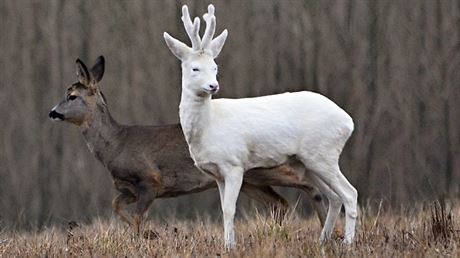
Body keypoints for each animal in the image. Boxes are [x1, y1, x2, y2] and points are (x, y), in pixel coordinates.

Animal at [47, 56, 328, 234]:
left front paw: (147, 236)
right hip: (250, 179)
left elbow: (137, 218)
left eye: (72, 96)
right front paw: (150, 234)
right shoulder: (128, 188)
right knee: (280, 203)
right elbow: (116, 206)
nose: (52, 112)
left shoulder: (150, 181)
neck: (115, 145)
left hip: (267, 168)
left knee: (309, 186)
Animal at [164, 4, 358, 249]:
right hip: (306, 162)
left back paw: (348, 243)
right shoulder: (216, 173)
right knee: (333, 197)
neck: (209, 127)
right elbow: (224, 208)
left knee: (350, 194)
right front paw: (228, 244)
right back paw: (322, 241)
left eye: (215, 67)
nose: (213, 86)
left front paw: (229, 247)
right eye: (195, 68)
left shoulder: (234, 164)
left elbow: (229, 209)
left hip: (323, 154)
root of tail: (348, 122)